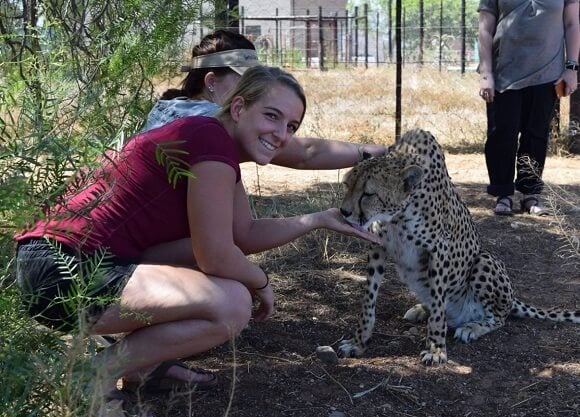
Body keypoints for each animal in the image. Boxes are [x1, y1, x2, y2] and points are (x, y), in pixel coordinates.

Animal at [338, 127, 576, 364]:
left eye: (368, 194)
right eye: (347, 184)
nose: (344, 212)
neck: (397, 215)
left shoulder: (439, 250)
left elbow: (438, 307)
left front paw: (436, 349)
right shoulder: (377, 247)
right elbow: (368, 301)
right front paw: (358, 342)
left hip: (485, 260)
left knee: (499, 318)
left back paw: (472, 327)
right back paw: (420, 309)